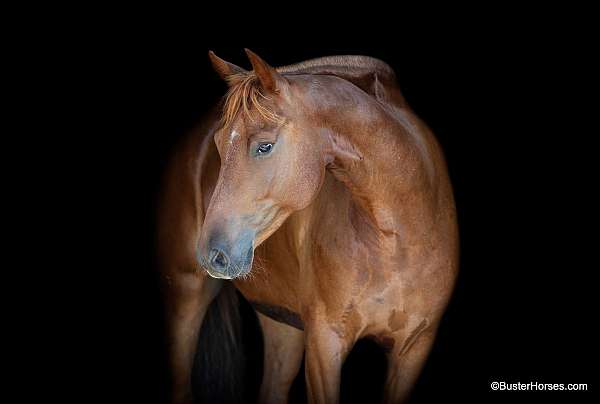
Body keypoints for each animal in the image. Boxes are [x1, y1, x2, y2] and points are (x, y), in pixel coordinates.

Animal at [157, 48, 458, 404]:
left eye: (264, 146)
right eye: (218, 144)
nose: (210, 254)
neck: (399, 239)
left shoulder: (413, 348)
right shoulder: (324, 344)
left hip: (281, 324)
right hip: (186, 297)